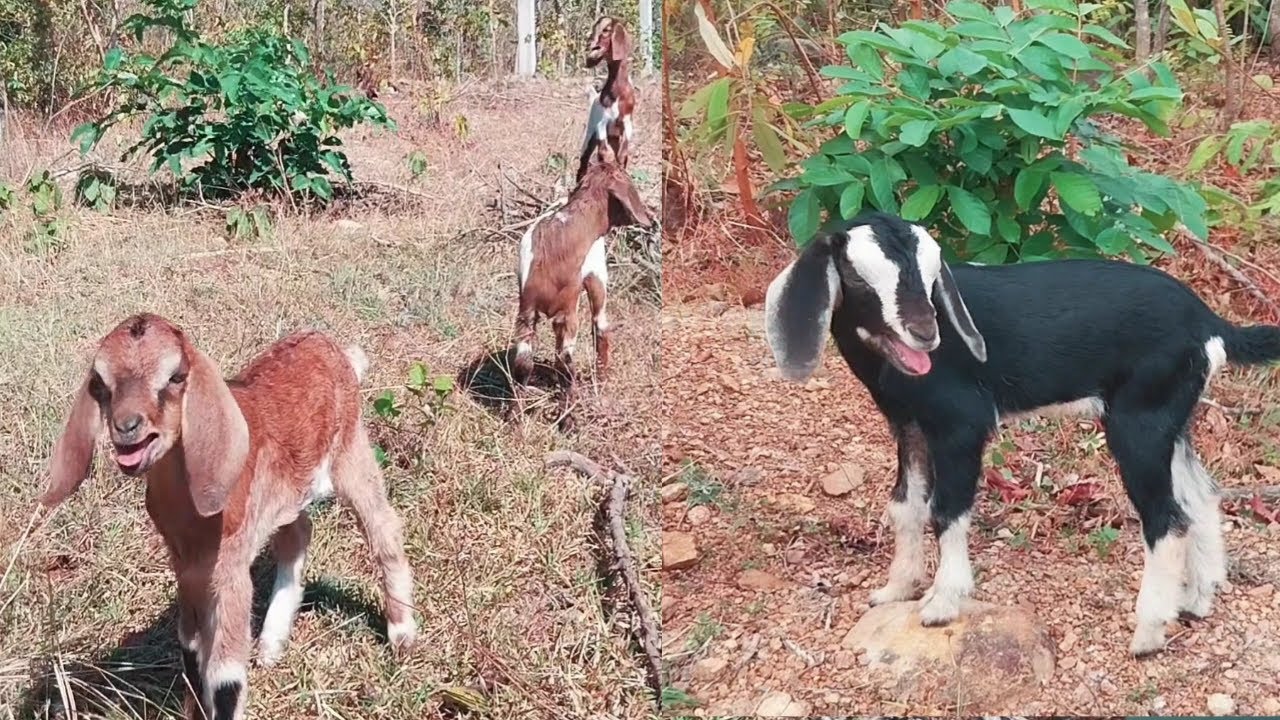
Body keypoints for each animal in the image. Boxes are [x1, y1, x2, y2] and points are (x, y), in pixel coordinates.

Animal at [39, 314, 417, 720]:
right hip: (286, 494)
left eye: (176, 376)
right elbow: (190, 650)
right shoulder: (187, 569)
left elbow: (225, 677)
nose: (126, 427)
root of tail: (330, 345)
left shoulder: (230, 568)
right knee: (298, 534)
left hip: (351, 451)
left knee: (383, 525)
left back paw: (402, 633)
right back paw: (271, 643)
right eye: (100, 382)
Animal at [577, 16, 636, 184]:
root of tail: (594, 98)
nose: (589, 43)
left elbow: (623, 153)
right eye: (594, 28)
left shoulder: (627, 121)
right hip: (590, 133)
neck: (617, 93)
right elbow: (603, 151)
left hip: (614, 137)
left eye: (606, 30)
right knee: (583, 160)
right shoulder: (601, 123)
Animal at [764, 211, 1280, 656]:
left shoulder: (961, 425)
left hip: (1138, 423)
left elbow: (946, 510)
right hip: (1169, 418)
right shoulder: (909, 425)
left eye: (931, 276)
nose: (926, 333)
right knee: (1201, 495)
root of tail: (1209, 323)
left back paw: (1149, 631)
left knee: (1167, 519)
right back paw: (1196, 600)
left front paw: (942, 602)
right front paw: (896, 588)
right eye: (856, 277)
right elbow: (905, 506)